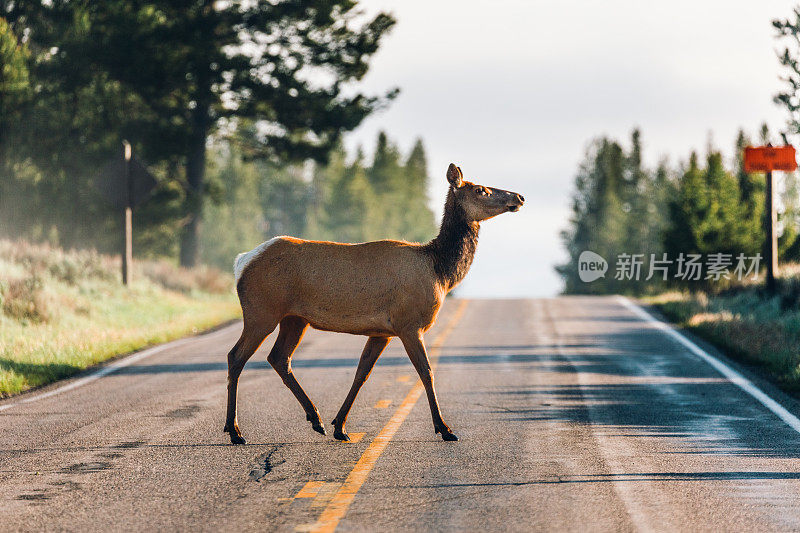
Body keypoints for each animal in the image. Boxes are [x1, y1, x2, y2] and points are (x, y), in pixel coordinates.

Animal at [225, 163, 524, 444]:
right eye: (481, 190)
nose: (519, 196)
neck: (440, 271)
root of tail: (241, 262)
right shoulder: (408, 323)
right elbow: (426, 372)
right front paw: (445, 428)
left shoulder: (382, 332)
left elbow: (361, 374)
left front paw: (340, 426)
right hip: (261, 311)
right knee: (236, 356)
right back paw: (235, 431)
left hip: (295, 319)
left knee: (279, 357)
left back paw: (316, 419)